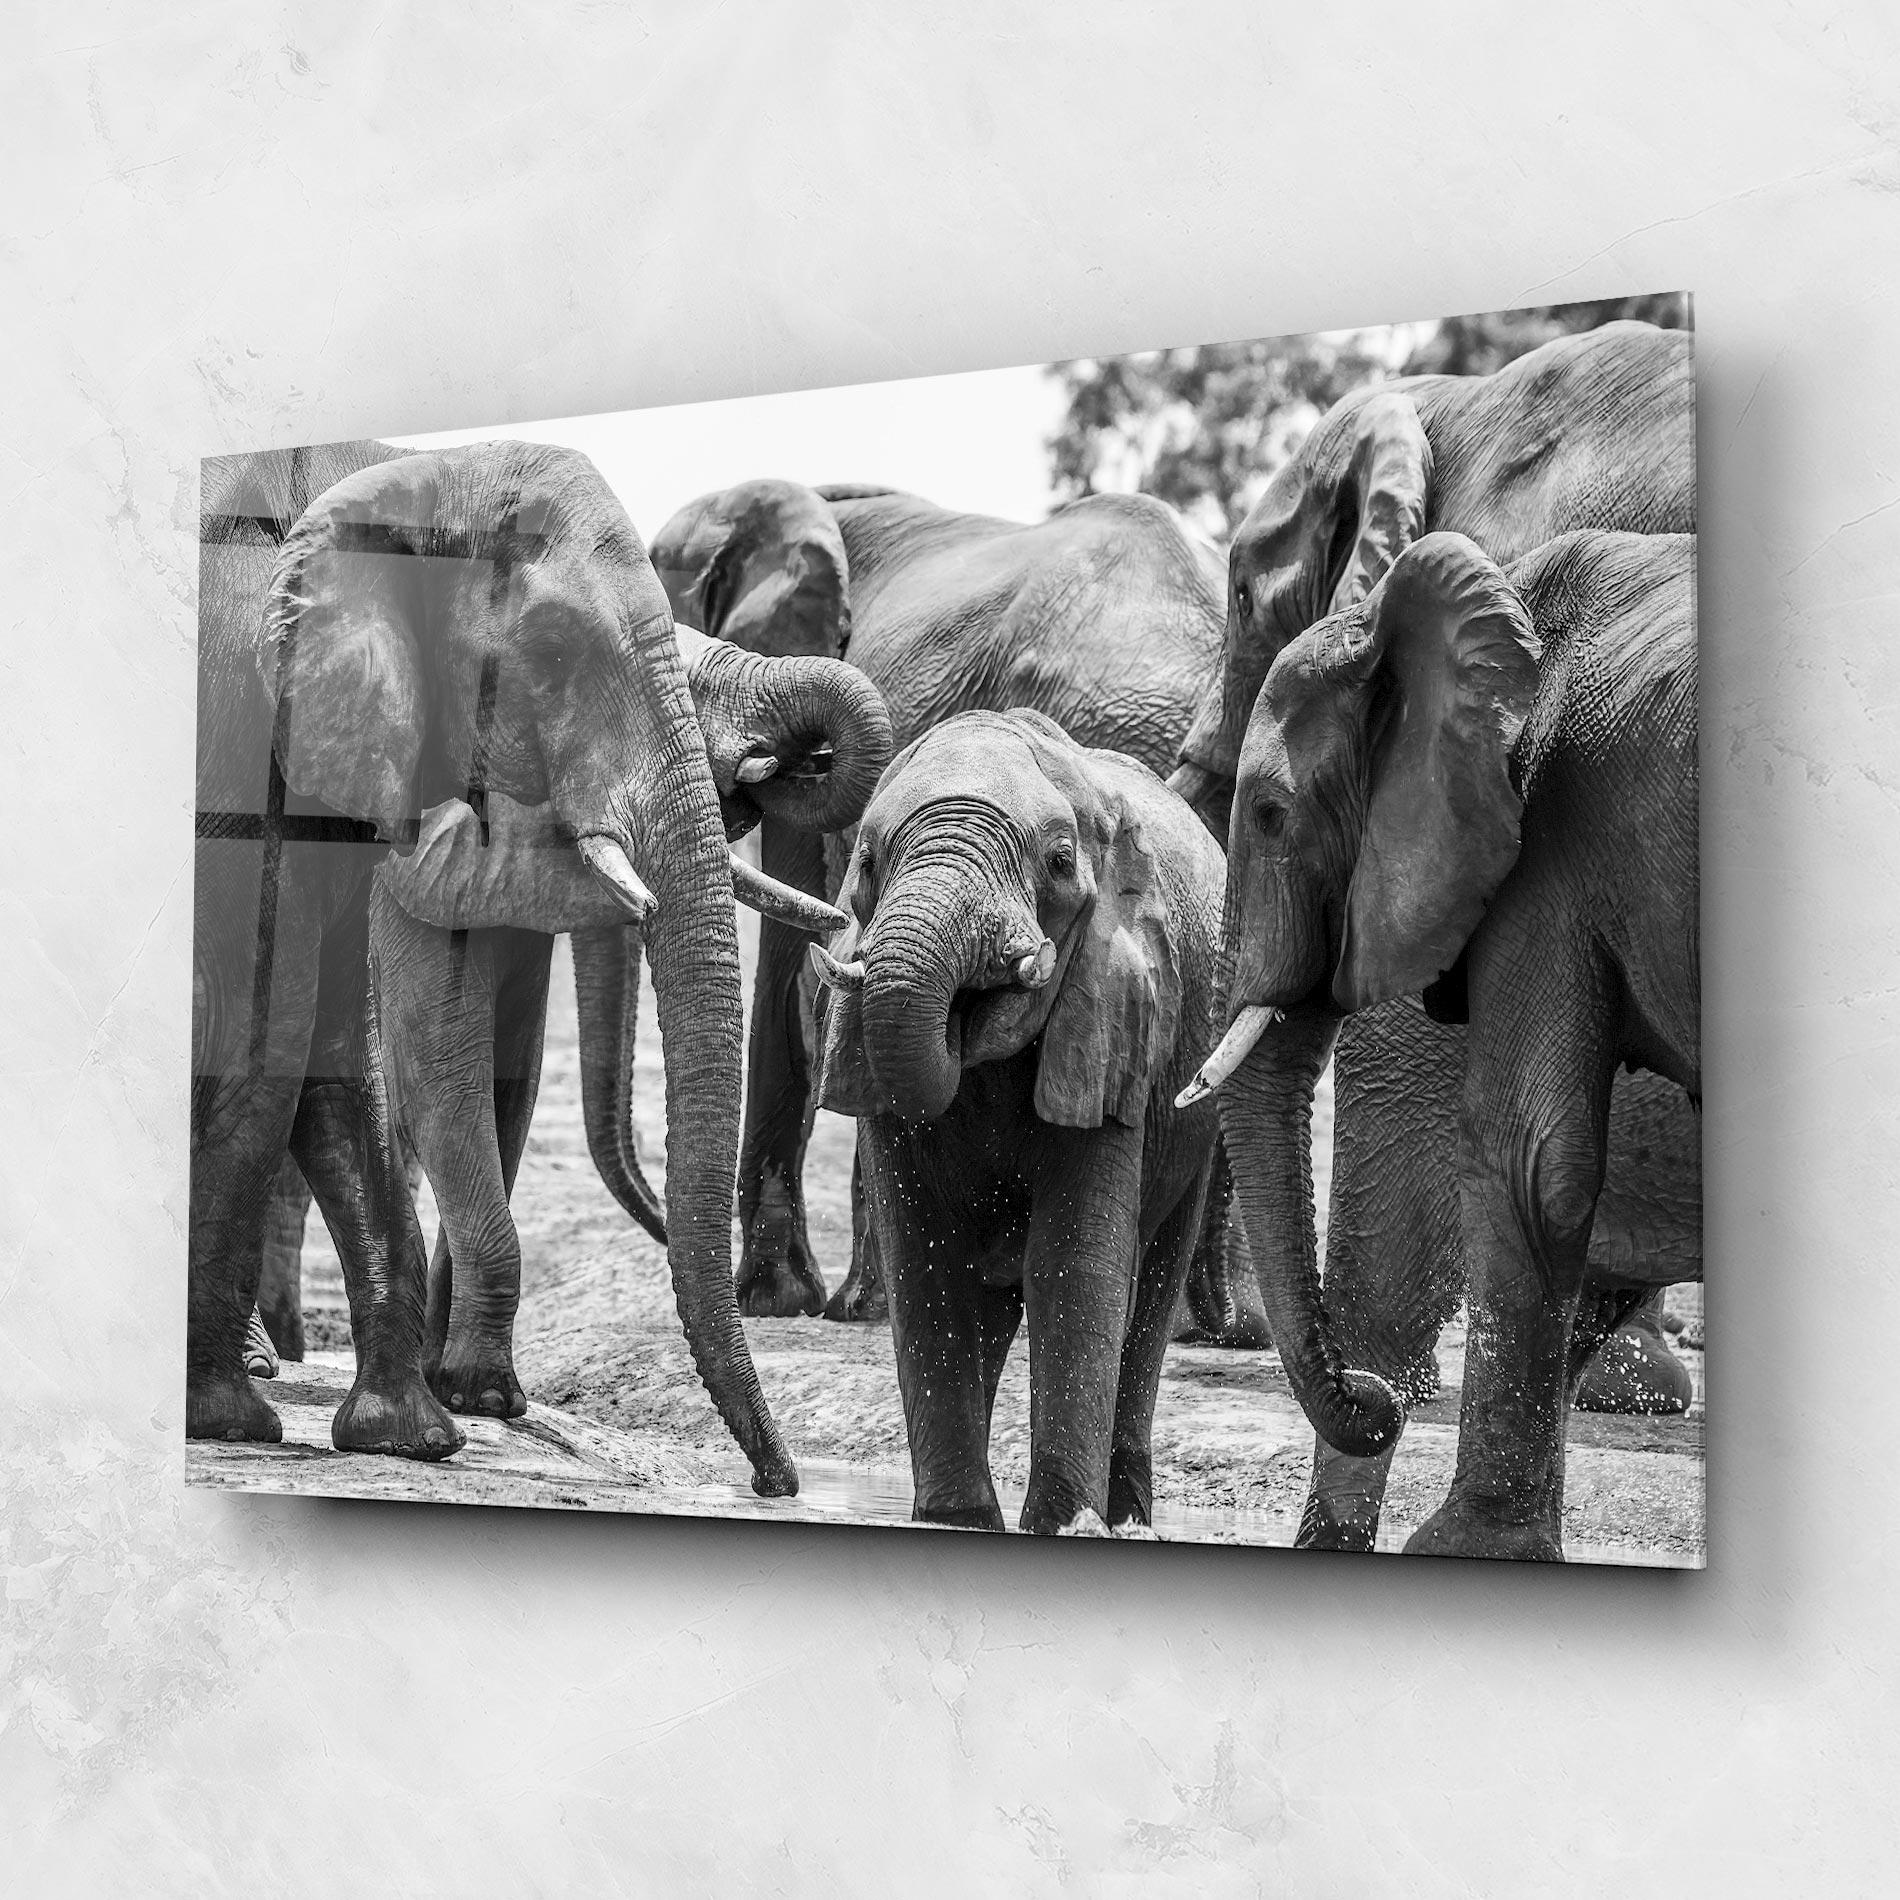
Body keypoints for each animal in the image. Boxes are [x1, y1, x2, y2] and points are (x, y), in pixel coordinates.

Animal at [191, 438, 826, 1491]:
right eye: (555, 655)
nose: (777, 1484)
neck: (416, 472)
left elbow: (354, 1058)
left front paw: (422, 1429)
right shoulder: (254, 729)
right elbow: (319, 1038)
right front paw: (233, 1423)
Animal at [813, 708, 1226, 1535]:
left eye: (1060, 863)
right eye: (867, 860)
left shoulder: (1116, 1022)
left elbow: (1071, 1265)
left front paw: (1064, 1524)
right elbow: (929, 1263)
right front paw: (955, 1522)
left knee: (1152, 1286)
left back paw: (1129, 1517)